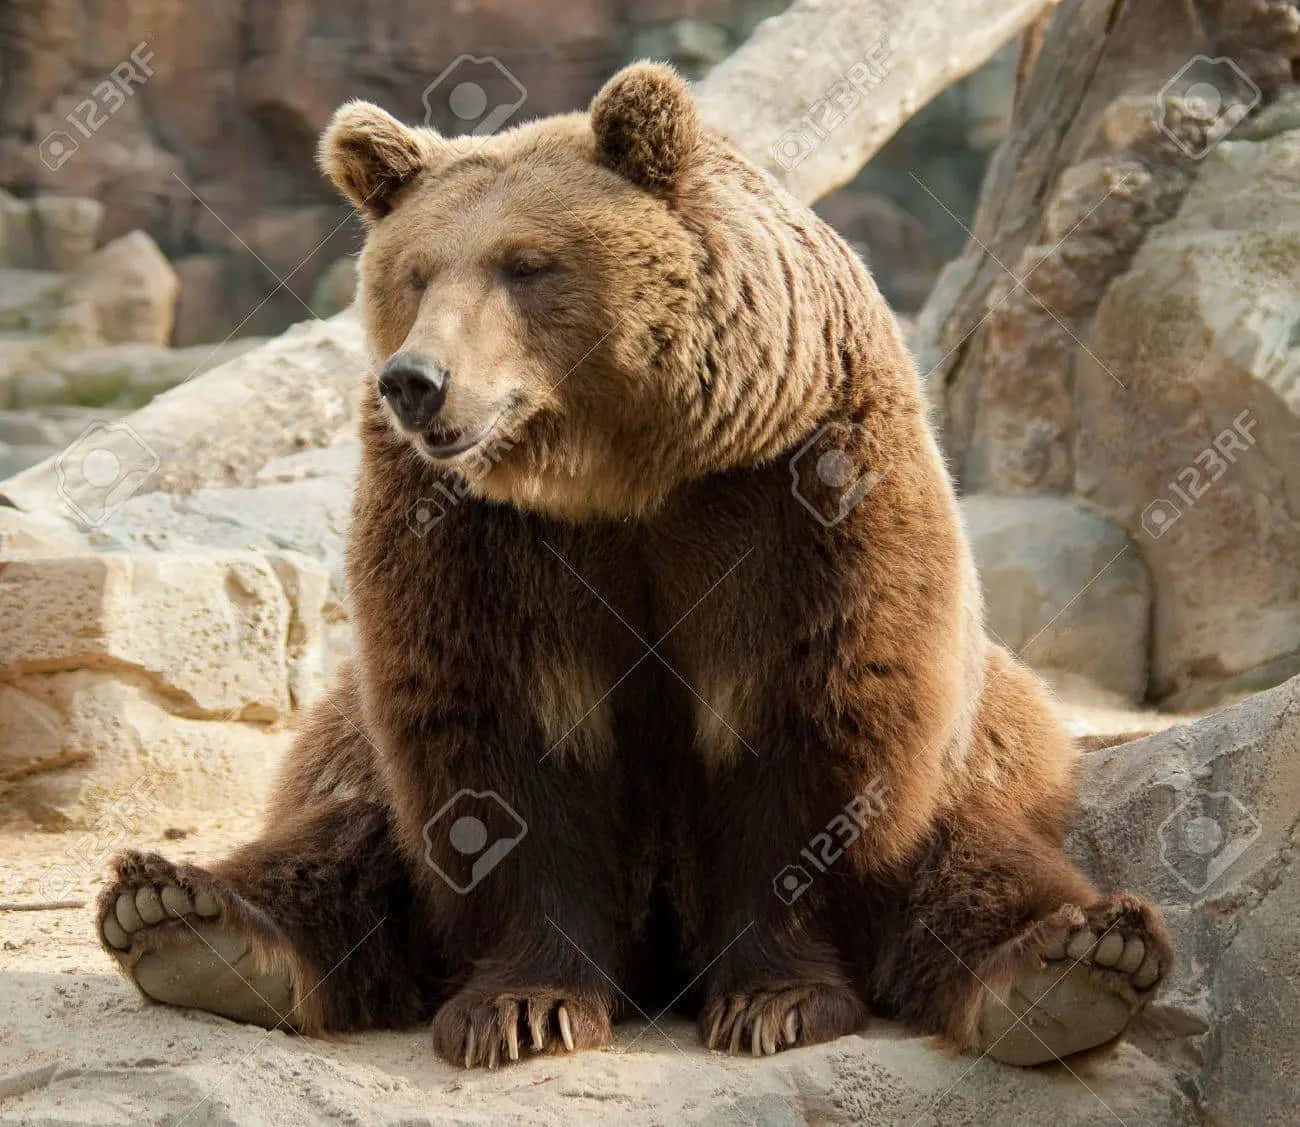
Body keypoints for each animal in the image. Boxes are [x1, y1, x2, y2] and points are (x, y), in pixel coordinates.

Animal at [95, 62, 1171, 1069]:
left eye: (525, 264)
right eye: (415, 272)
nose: (416, 380)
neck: (623, 475)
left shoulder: (802, 487)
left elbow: (809, 723)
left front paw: (776, 999)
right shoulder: (475, 536)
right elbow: (499, 750)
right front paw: (523, 1004)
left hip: (993, 748)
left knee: (978, 862)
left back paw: (1075, 962)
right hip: (348, 746)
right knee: (341, 837)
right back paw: (187, 919)